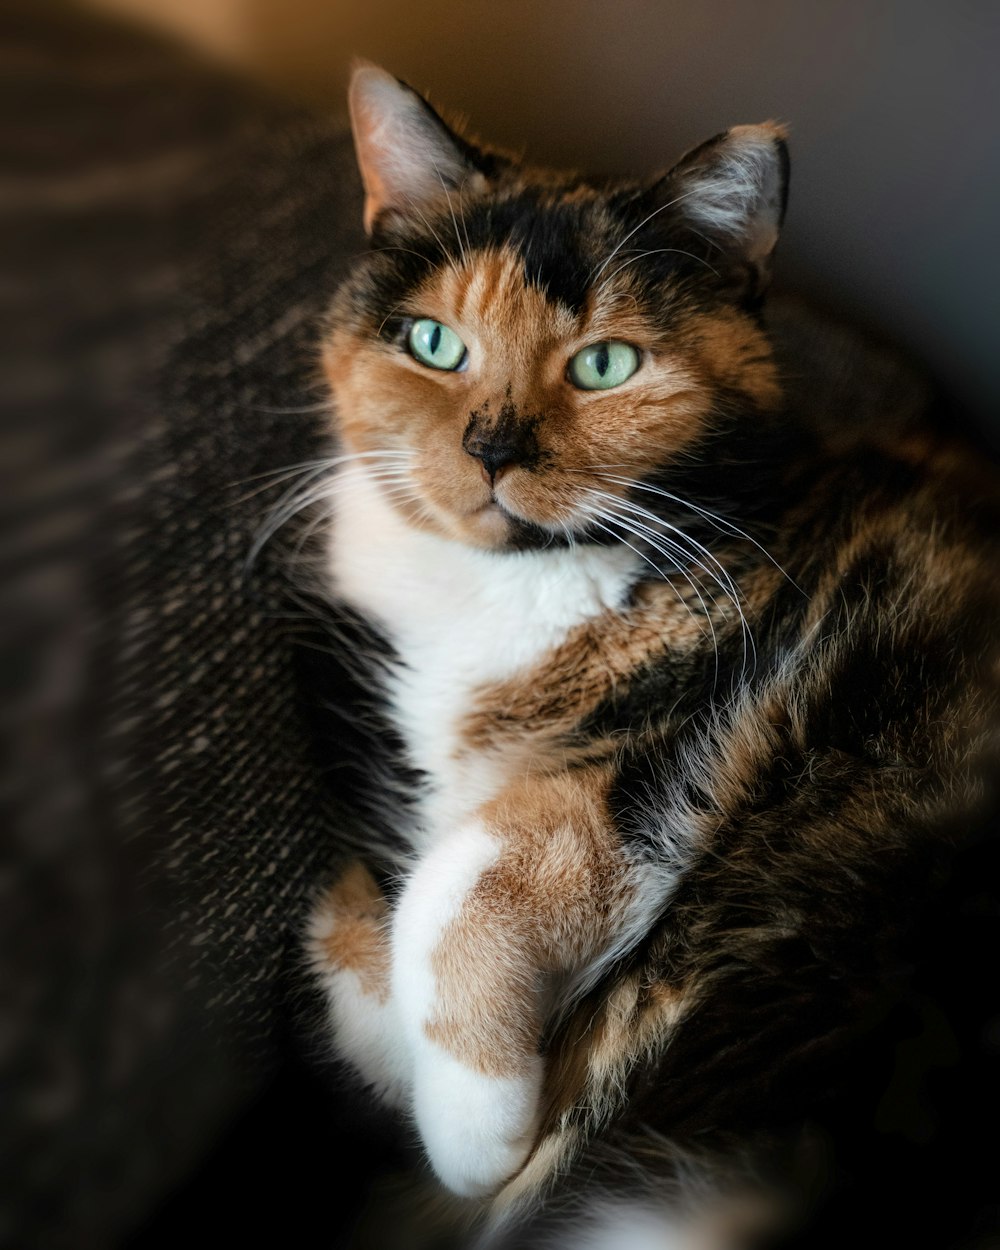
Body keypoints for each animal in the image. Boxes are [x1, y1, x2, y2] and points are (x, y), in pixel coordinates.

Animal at [301, 63, 995, 1250]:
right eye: (433, 342)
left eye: (606, 362)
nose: (492, 447)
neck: (507, 593)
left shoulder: (675, 752)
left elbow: (456, 879)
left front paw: (475, 1129)